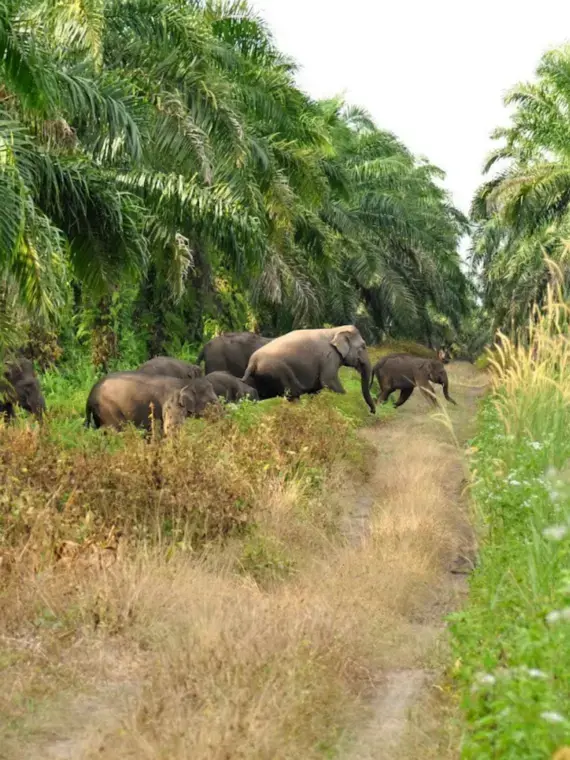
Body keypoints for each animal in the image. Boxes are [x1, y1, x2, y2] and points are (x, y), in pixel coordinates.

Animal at [85, 372, 220, 431]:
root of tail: (90, 395)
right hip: (108, 409)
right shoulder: (172, 404)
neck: (185, 383)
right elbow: (171, 429)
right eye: (212, 402)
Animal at [242, 325, 376, 414]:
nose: (372, 411)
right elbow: (328, 381)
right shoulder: (329, 357)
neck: (335, 330)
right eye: (363, 346)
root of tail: (253, 362)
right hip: (278, 371)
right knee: (293, 394)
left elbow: (316, 389)